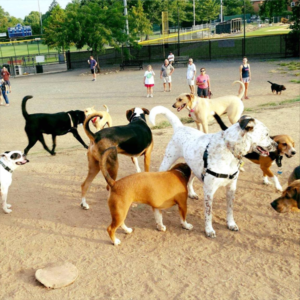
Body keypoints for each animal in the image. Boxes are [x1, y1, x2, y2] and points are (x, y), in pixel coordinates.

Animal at [149, 106, 276, 238]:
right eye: (266, 134)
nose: (276, 144)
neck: (229, 149)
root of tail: (180, 127)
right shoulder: (209, 190)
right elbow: (208, 213)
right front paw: (209, 230)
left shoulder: (231, 188)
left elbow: (230, 209)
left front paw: (231, 224)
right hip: (167, 161)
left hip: (194, 167)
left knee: (189, 181)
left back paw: (191, 193)